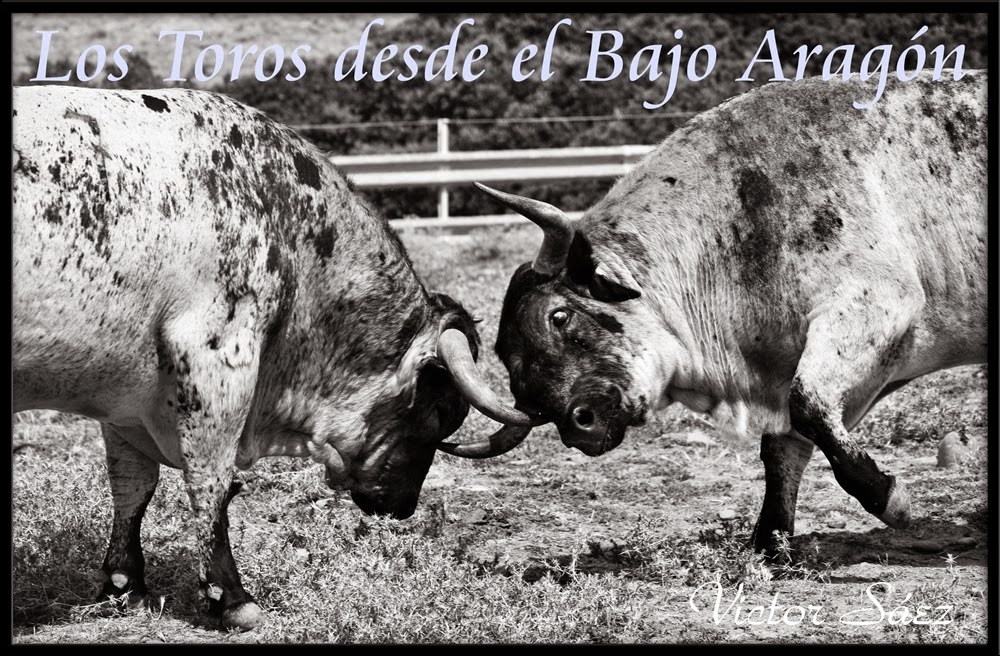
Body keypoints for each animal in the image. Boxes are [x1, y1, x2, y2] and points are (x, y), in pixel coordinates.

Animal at [13, 84, 532, 628]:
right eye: (441, 412)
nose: (404, 506)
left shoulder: (124, 403)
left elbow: (133, 485)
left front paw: (125, 584)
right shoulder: (217, 363)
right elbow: (212, 483)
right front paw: (231, 597)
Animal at [462, 70, 992, 552]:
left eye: (559, 315)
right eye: (510, 362)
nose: (576, 424)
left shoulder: (876, 304)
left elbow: (809, 407)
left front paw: (890, 500)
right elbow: (788, 442)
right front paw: (770, 542)